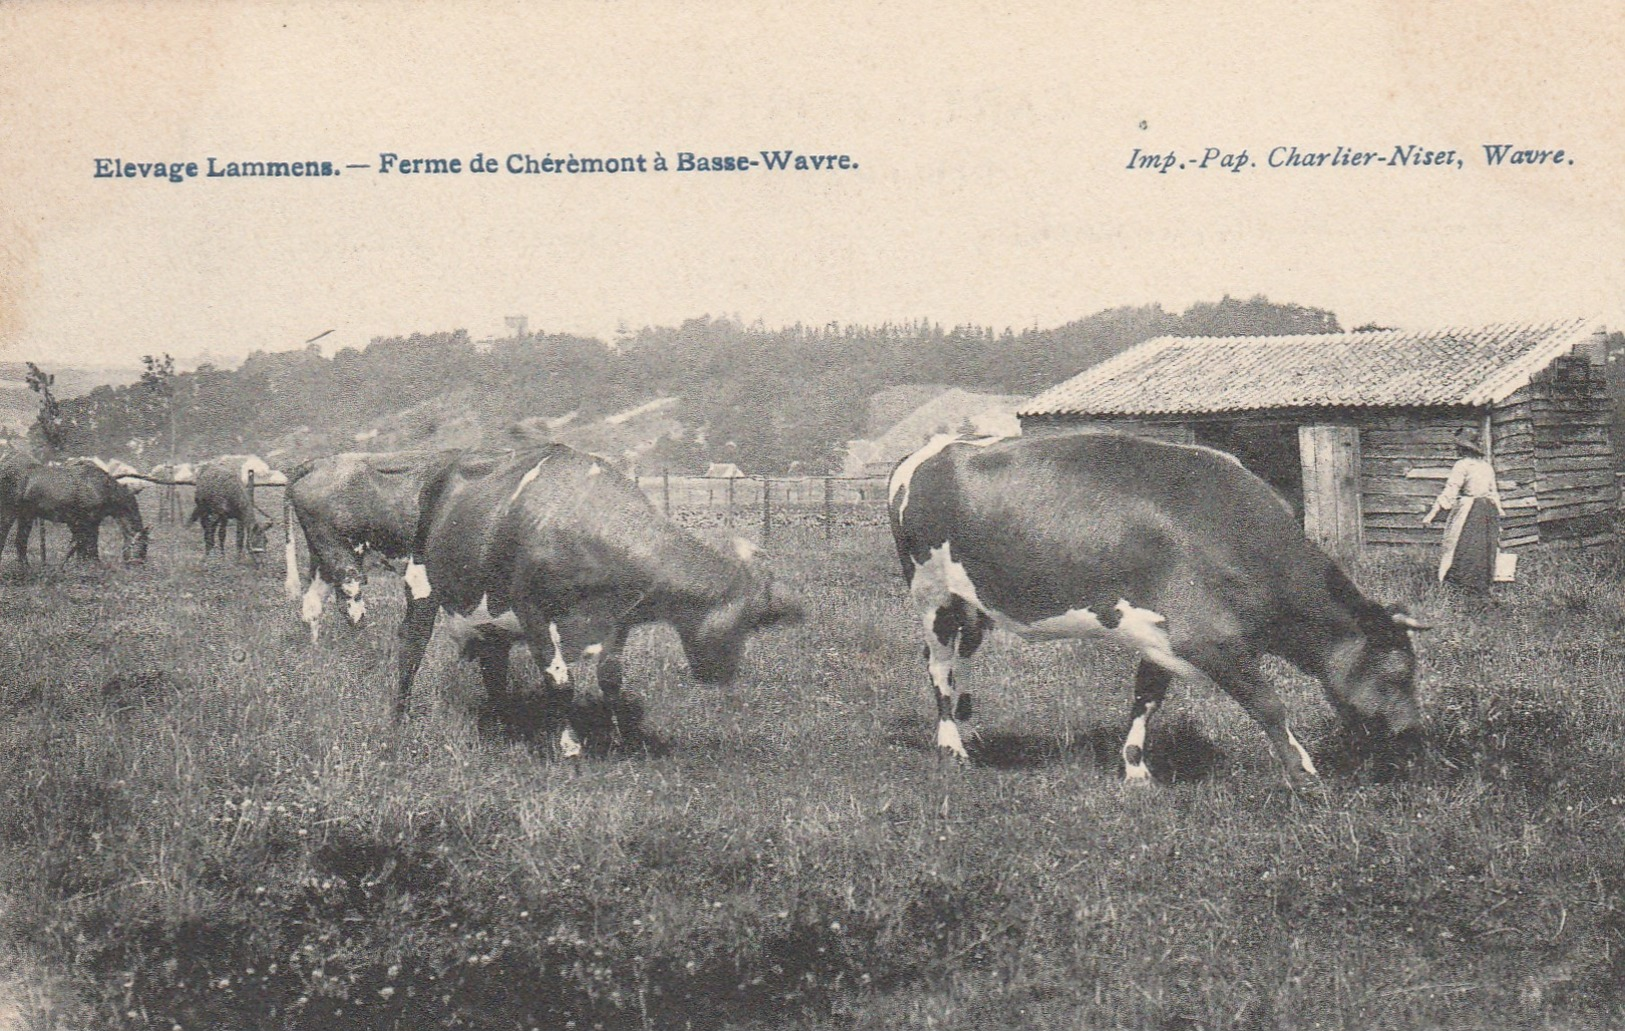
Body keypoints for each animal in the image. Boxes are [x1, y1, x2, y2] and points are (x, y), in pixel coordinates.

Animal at [399, 442, 806, 754]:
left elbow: (611, 678)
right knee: (411, 649)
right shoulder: (533, 610)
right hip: (420, 583)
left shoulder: (617, 620)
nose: (723, 675)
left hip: (489, 613)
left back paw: (500, 725)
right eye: (743, 623)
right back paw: (399, 718)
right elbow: (560, 682)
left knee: (493, 664)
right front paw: (568, 746)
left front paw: (621, 738)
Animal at [884, 429, 1430, 783]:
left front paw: (1135, 770)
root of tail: (929, 450)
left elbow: (1146, 699)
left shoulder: (1160, 636)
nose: (1412, 739)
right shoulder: (1209, 640)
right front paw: (1305, 775)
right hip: (932, 593)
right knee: (938, 668)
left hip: (970, 606)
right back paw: (951, 747)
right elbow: (1269, 705)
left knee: (954, 666)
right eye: (1399, 674)